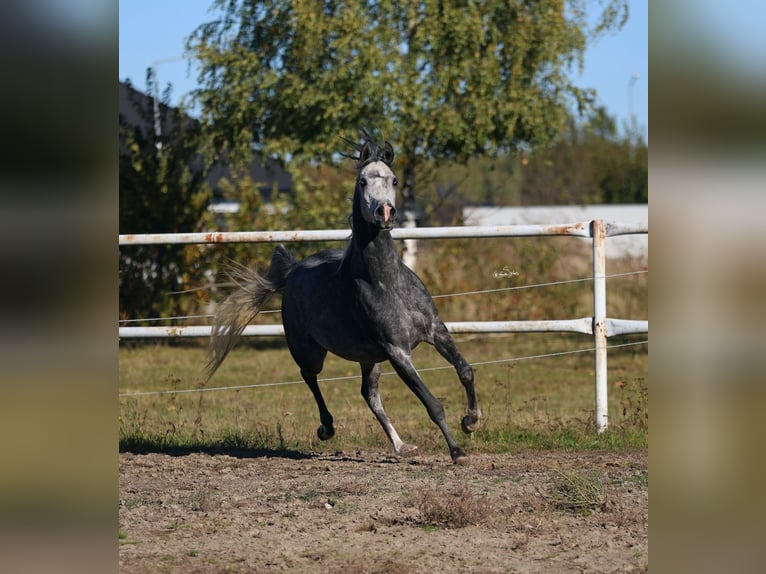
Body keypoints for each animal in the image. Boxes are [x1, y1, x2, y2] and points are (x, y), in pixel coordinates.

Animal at [205, 132, 481, 463]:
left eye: (394, 180)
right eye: (362, 181)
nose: (385, 212)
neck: (387, 283)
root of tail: (294, 271)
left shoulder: (435, 330)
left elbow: (465, 370)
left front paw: (471, 421)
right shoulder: (397, 352)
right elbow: (432, 403)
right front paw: (457, 451)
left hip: (369, 357)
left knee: (369, 394)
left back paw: (401, 445)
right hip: (310, 351)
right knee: (309, 376)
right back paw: (327, 428)